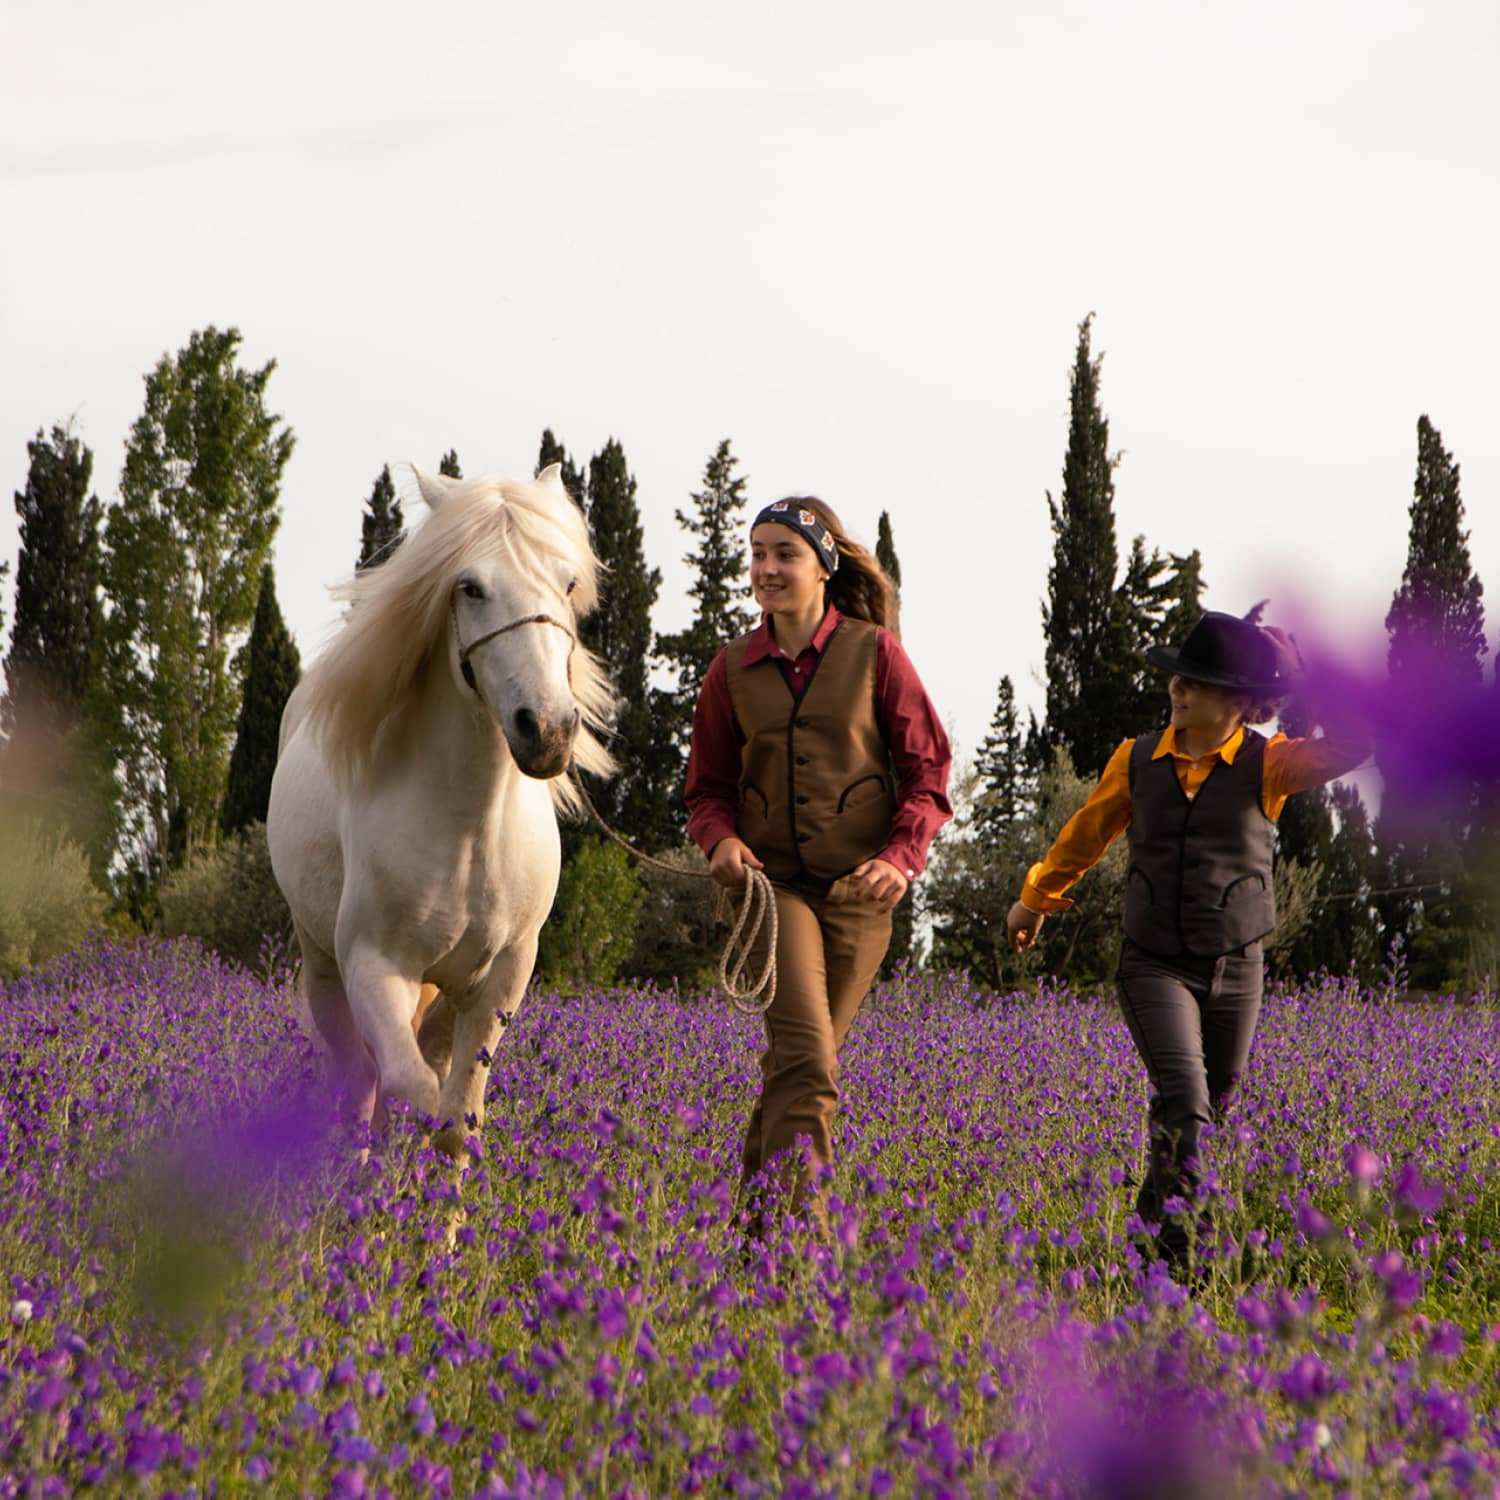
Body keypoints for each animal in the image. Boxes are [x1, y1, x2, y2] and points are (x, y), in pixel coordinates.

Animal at [265, 465, 609, 1146]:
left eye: (568, 582)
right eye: (469, 588)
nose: (548, 730)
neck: (471, 828)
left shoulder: (499, 978)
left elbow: (456, 1118)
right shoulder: (375, 967)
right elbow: (409, 1090)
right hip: (323, 967)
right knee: (360, 1083)